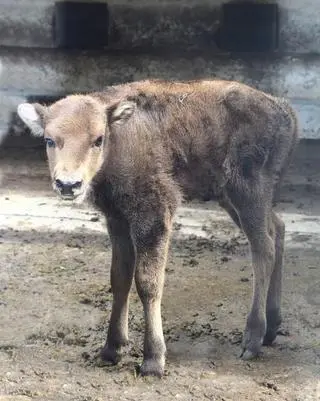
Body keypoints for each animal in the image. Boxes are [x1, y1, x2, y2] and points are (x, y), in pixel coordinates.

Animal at [16, 79, 298, 376]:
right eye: (49, 140)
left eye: (98, 139)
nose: (68, 184)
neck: (120, 139)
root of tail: (284, 110)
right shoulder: (118, 220)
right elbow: (119, 278)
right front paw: (111, 349)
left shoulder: (154, 215)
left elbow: (148, 283)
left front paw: (152, 360)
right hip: (233, 198)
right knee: (277, 229)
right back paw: (272, 328)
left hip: (247, 192)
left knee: (263, 249)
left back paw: (252, 340)